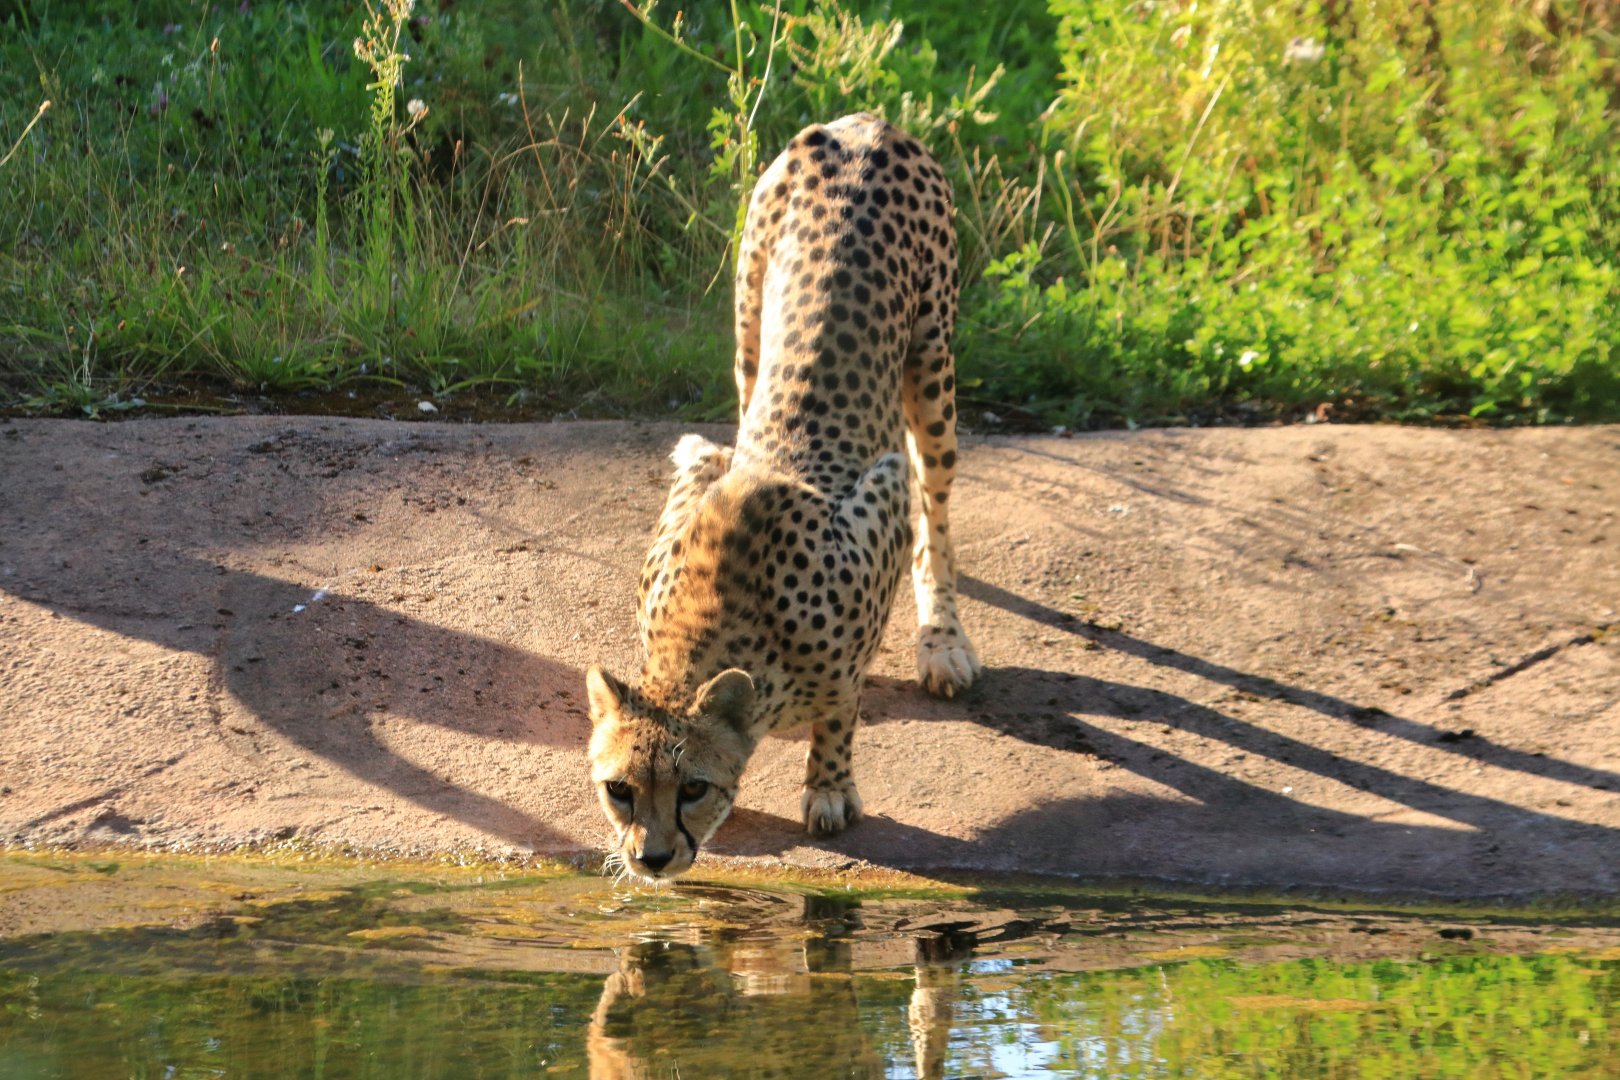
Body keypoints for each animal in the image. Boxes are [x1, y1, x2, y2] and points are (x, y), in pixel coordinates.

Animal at [585, 112, 980, 882]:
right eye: (619, 789)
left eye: (693, 787)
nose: (651, 858)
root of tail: (862, 125)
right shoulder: (700, 463)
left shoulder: (880, 498)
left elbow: (844, 702)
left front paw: (829, 785)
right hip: (747, 325)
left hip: (932, 364)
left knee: (938, 509)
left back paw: (942, 639)